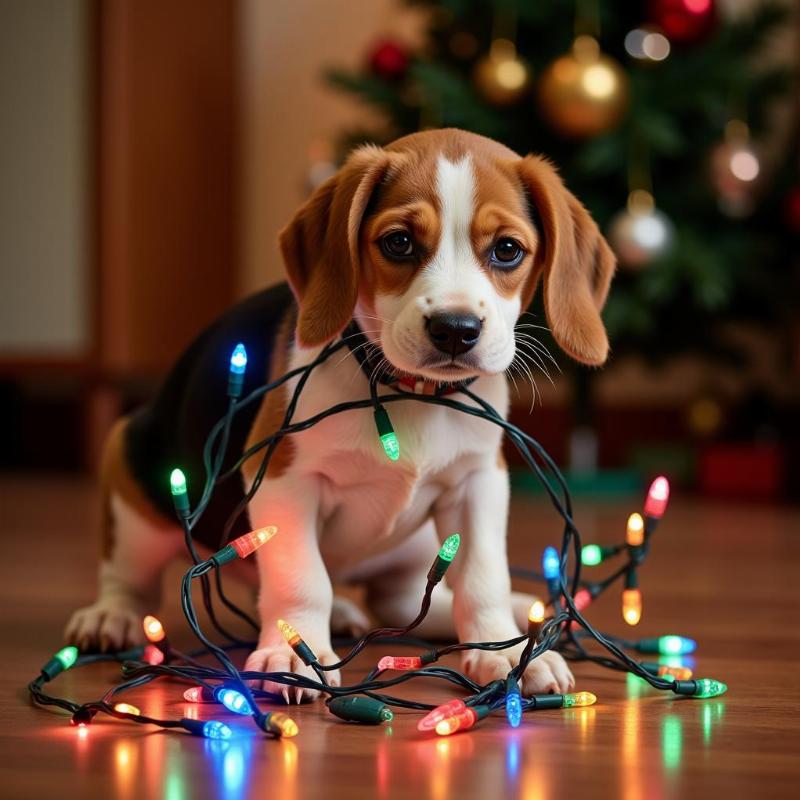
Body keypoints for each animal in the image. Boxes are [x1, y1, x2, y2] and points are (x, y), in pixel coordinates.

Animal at [65, 128, 616, 704]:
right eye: (398, 242)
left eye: (507, 250)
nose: (455, 329)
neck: (409, 395)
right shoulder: (284, 481)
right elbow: (302, 579)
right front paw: (292, 652)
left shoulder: (479, 481)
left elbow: (482, 577)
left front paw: (505, 653)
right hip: (132, 486)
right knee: (130, 579)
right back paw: (110, 618)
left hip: (416, 546)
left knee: (404, 602)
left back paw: (505, 613)